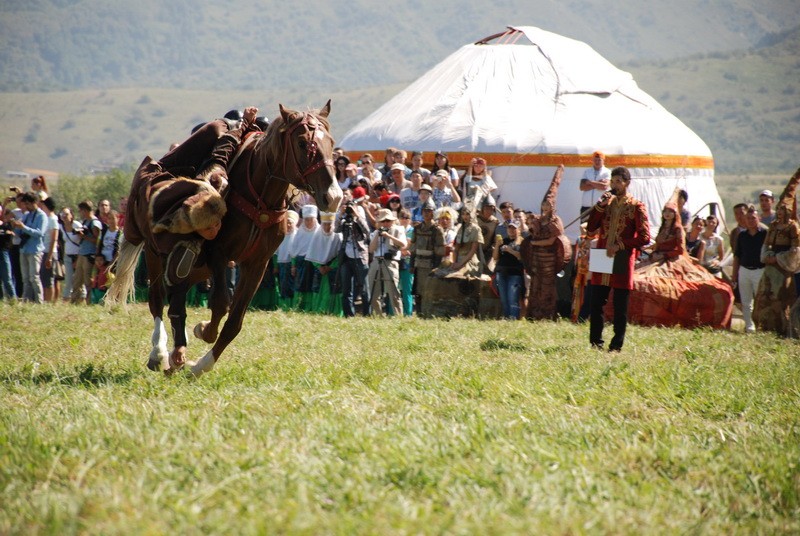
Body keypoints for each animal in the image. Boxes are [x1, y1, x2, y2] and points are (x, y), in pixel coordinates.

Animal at [106, 102, 342, 377]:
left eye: (331, 142)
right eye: (303, 143)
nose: (333, 197)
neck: (259, 197)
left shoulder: (257, 264)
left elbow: (234, 321)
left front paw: (202, 364)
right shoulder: (219, 255)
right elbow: (220, 303)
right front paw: (204, 331)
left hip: (194, 268)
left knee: (177, 299)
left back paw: (178, 353)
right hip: (155, 256)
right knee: (157, 299)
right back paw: (160, 353)